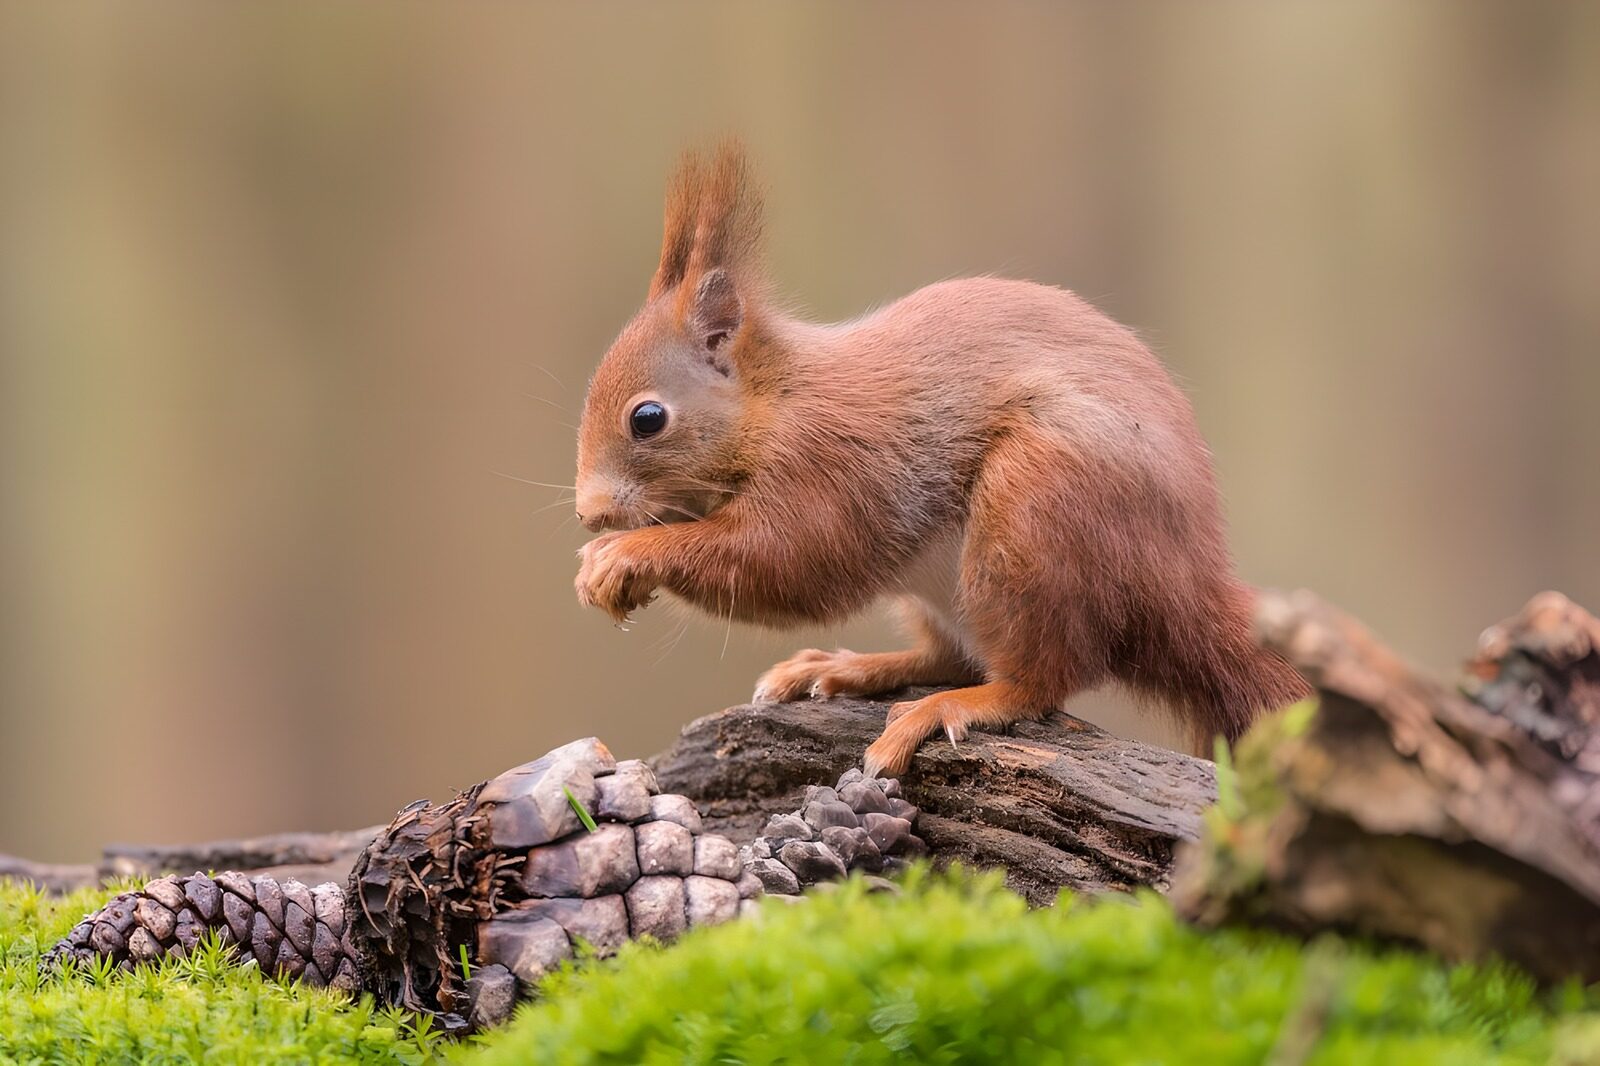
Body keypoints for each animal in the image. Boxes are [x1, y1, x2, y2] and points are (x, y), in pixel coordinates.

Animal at [573, 142, 1309, 778]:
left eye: (647, 419)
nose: (589, 513)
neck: (772, 403)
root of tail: (1185, 586)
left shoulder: (829, 465)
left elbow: (789, 559)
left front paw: (624, 556)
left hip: (1036, 513)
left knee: (1039, 678)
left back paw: (951, 708)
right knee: (952, 656)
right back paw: (849, 668)